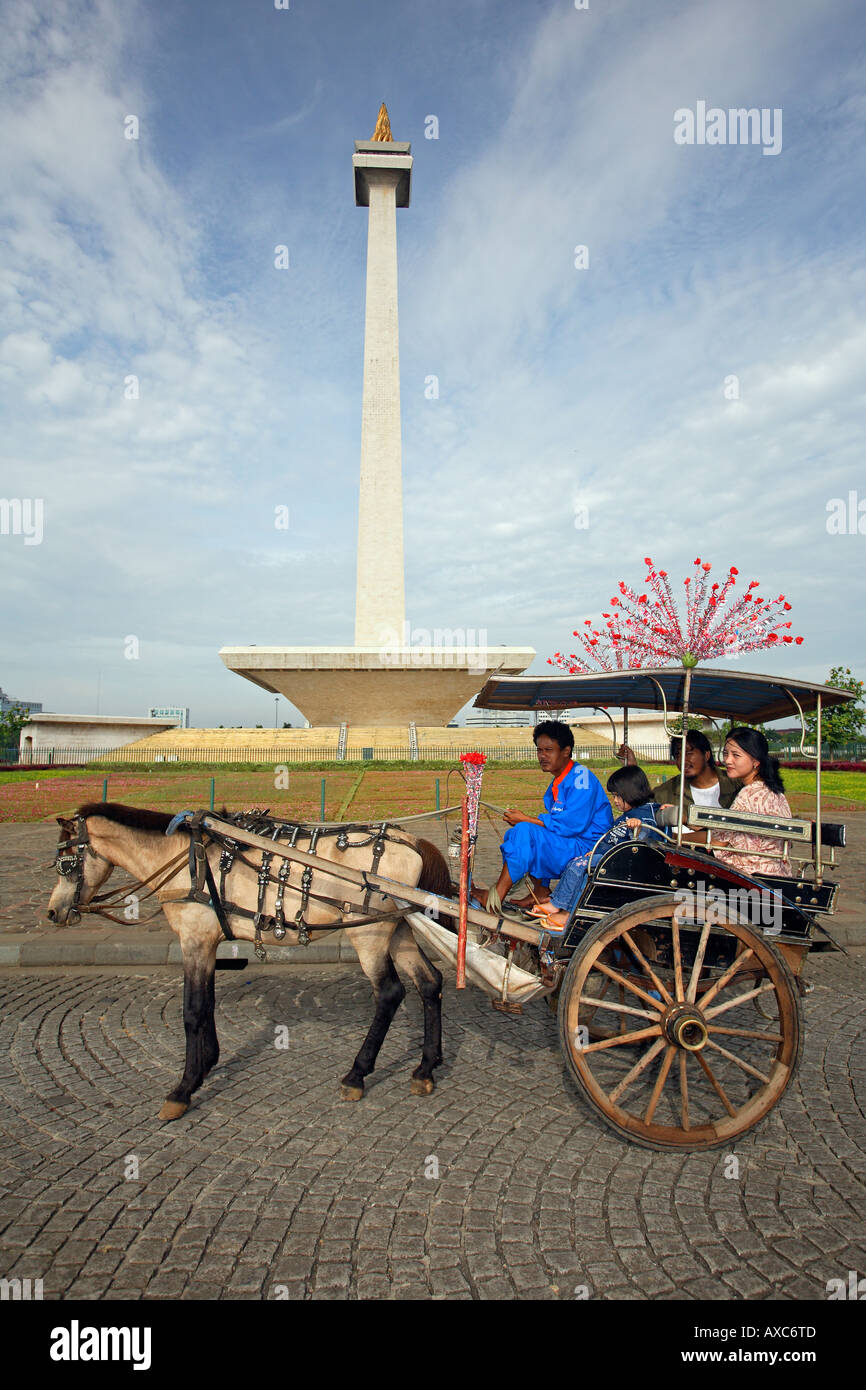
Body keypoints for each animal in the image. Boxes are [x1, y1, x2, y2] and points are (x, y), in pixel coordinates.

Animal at [45, 811, 453, 1123]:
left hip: (368, 932)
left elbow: (192, 1010)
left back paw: (356, 1074)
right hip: (398, 927)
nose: (52, 913)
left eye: (66, 865)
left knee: (389, 993)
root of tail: (411, 840)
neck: (184, 858)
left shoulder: (194, 938)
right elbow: (206, 1004)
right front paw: (207, 1064)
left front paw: (183, 1089)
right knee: (429, 982)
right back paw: (425, 1068)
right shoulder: (208, 942)